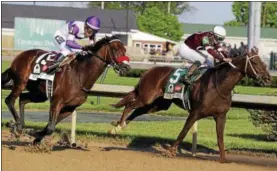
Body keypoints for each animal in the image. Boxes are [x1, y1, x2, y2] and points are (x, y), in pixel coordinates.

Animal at [1, 35, 130, 144]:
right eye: (115, 49)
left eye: (124, 50)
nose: (126, 68)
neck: (80, 75)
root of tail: (20, 56)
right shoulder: (56, 101)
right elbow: (50, 127)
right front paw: (33, 133)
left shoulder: (70, 107)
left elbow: (50, 127)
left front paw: (35, 135)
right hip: (20, 82)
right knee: (10, 100)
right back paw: (17, 126)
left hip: (40, 93)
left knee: (23, 98)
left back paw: (19, 126)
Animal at [109, 46, 270, 162]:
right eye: (255, 62)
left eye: (263, 62)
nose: (268, 78)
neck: (219, 85)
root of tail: (149, 70)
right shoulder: (195, 112)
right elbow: (184, 131)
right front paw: (170, 151)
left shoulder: (221, 116)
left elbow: (220, 138)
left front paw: (223, 160)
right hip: (146, 97)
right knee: (129, 105)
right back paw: (119, 125)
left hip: (158, 104)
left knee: (137, 111)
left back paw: (119, 127)